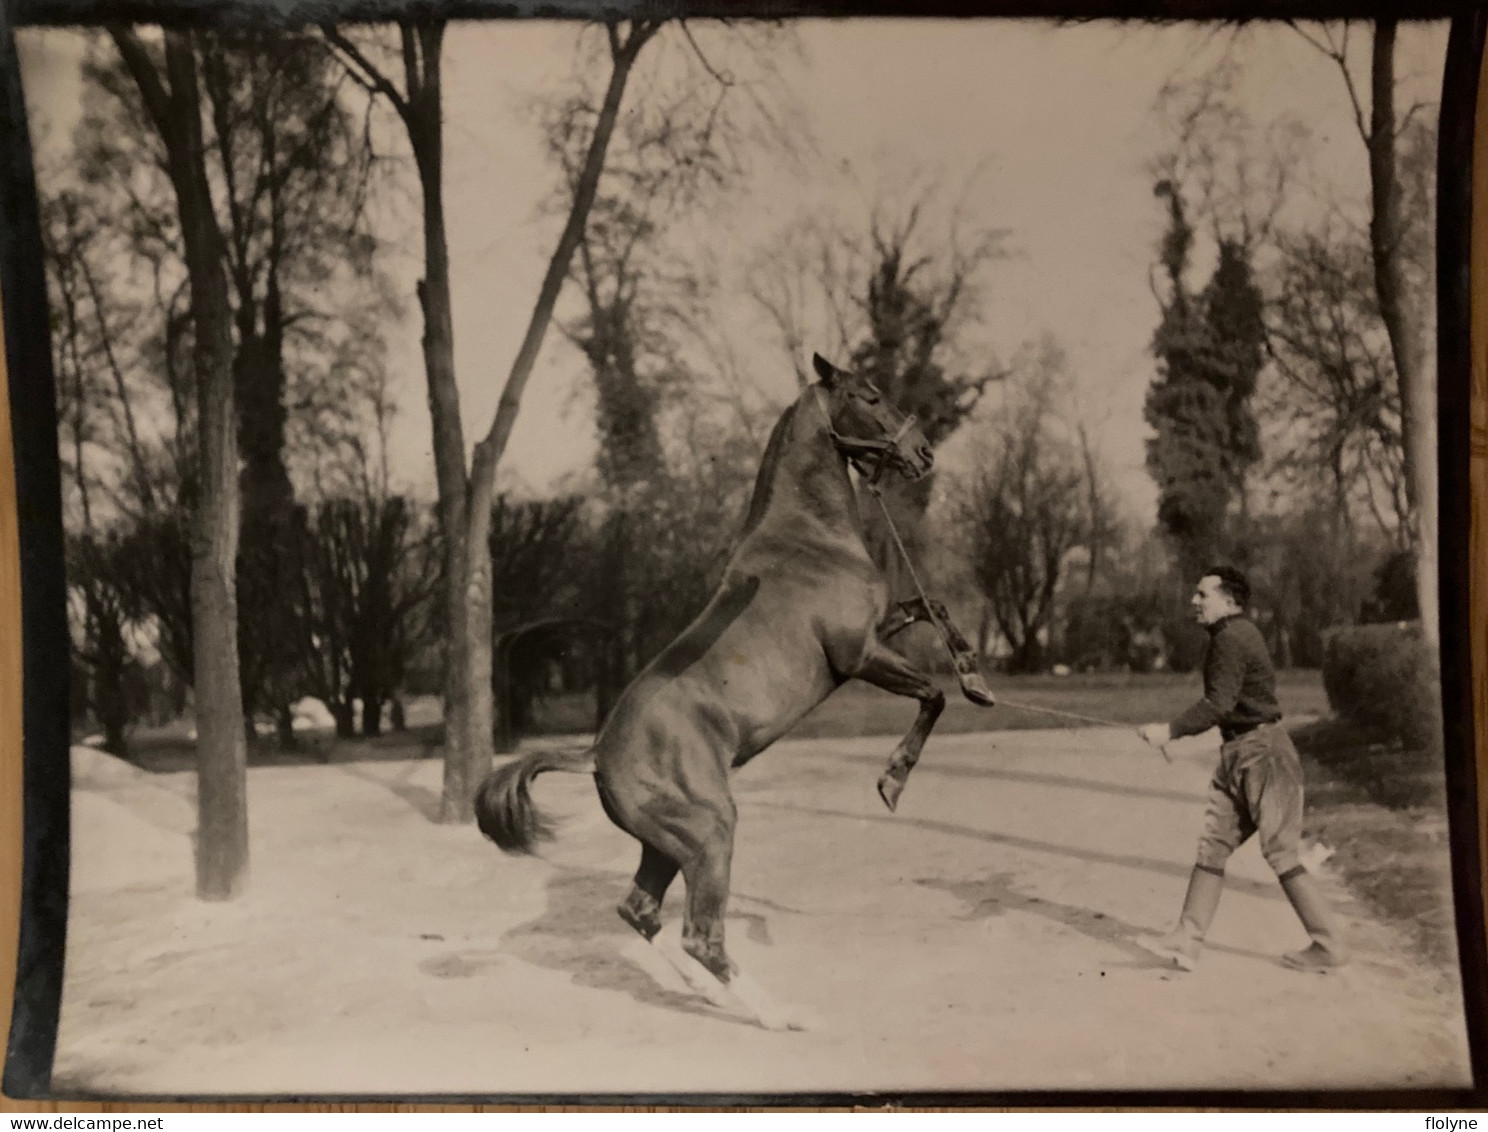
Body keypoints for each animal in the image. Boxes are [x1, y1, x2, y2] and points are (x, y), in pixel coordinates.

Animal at [476, 357, 993, 1029]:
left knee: (640, 912)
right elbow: (933, 695)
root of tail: (594, 753)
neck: (808, 538)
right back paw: (780, 1014)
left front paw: (977, 678)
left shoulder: (883, 628)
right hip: (711, 833)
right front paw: (892, 781)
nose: (923, 452)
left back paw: (704, 993)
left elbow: (937, 607)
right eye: (871, 396)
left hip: (666, 846)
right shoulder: (859, 655)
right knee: (700, 934)